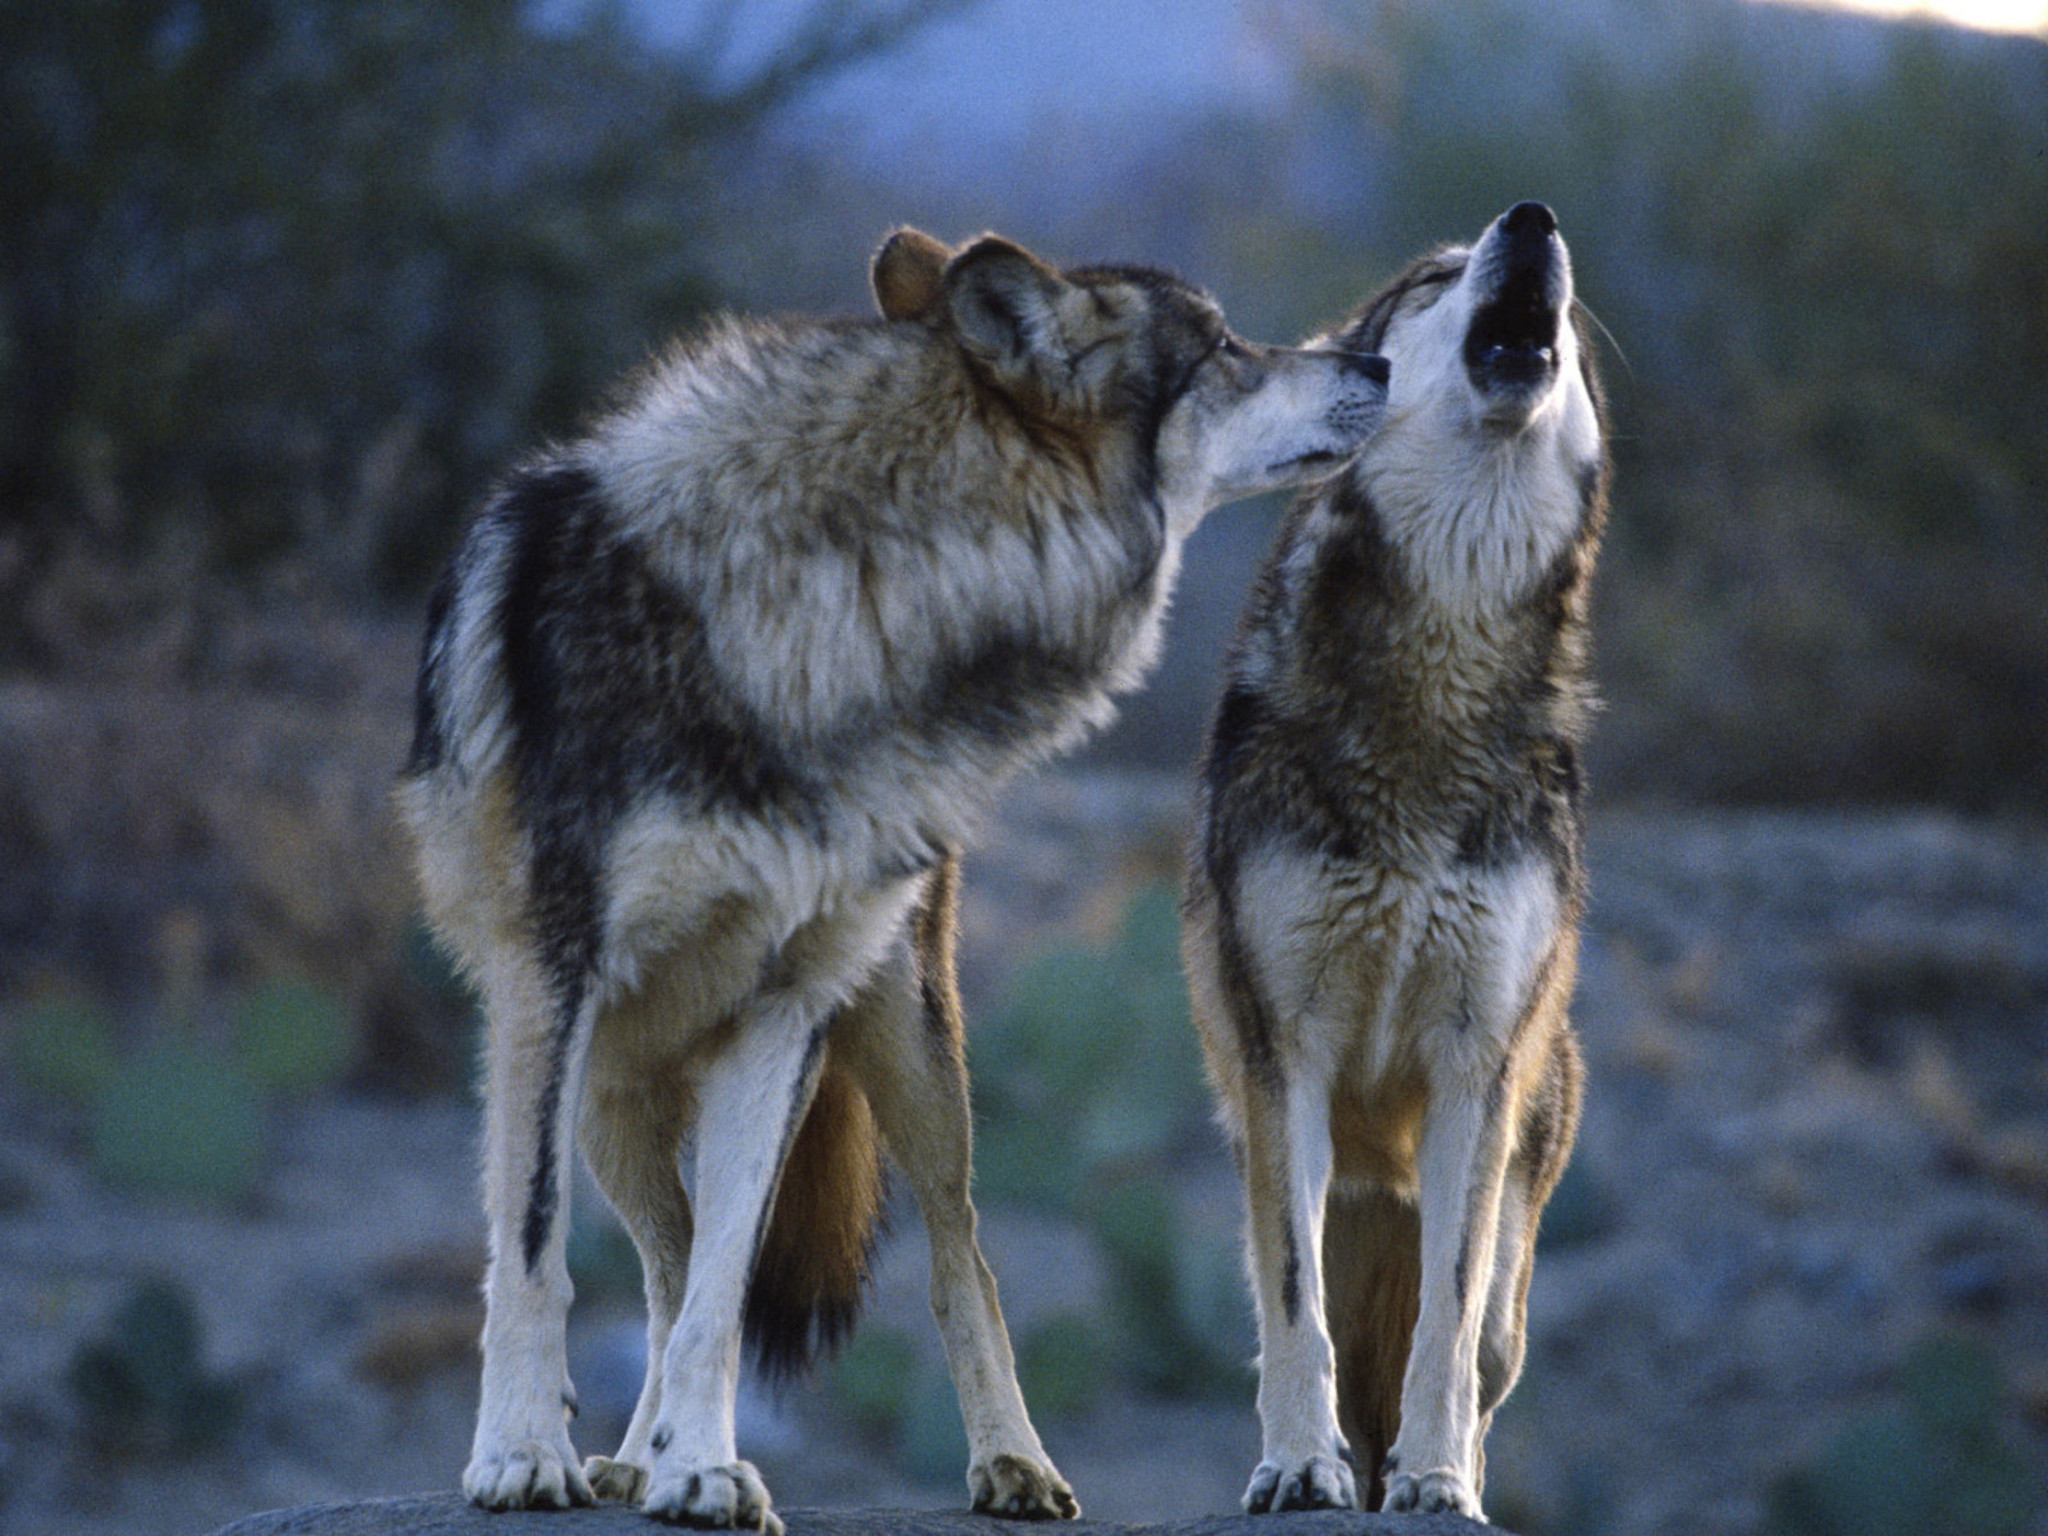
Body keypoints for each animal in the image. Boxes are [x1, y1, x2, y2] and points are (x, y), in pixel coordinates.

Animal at [395, 222, 1392, 1531]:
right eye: (1224, 348)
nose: (1377, 362)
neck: (851, 597)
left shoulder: (778, 1011)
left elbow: (725, 1291)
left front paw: (703, 1467)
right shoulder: (546, 985)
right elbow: (535, 1252)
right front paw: (523, 1454)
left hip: (903, 1043)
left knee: (948, 1254)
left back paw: (1005, 1464)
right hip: (610, 1086)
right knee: (656, 1260)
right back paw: (624, 1456)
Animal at [1187, 204, 1597, 1531]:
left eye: (1572, 311)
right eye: (1430, 279)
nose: (1533, 220)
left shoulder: (1478, 1063)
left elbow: (1445, 1318)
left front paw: (1436, 1483)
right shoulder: (1284, 1053)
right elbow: (1291, 1305)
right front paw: (1294, 1469)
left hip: (1519, 1226)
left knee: (1478, 1348)